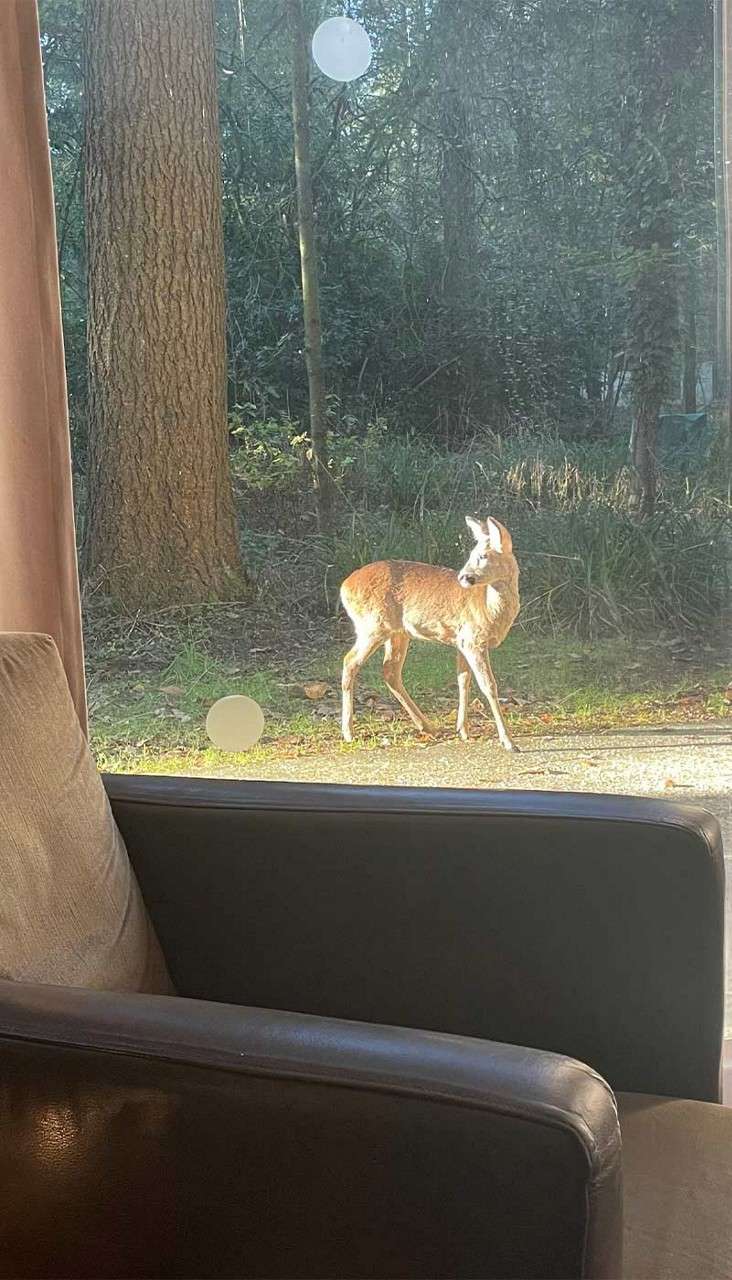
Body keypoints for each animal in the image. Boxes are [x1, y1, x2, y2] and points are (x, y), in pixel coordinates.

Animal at [340, 515, 520, 749]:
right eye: (472, 554)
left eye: (482, 555)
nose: (463, 577)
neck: (489, 608)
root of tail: (344, 587)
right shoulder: (473, 640)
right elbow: (488, 685)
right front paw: (508, 741)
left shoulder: (461, 640)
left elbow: (463, 680)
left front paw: (463, 730)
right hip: (372, 626)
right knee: (350, 662)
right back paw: (348, 732)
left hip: (397, 633)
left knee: (390, 670)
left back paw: (428, 727)